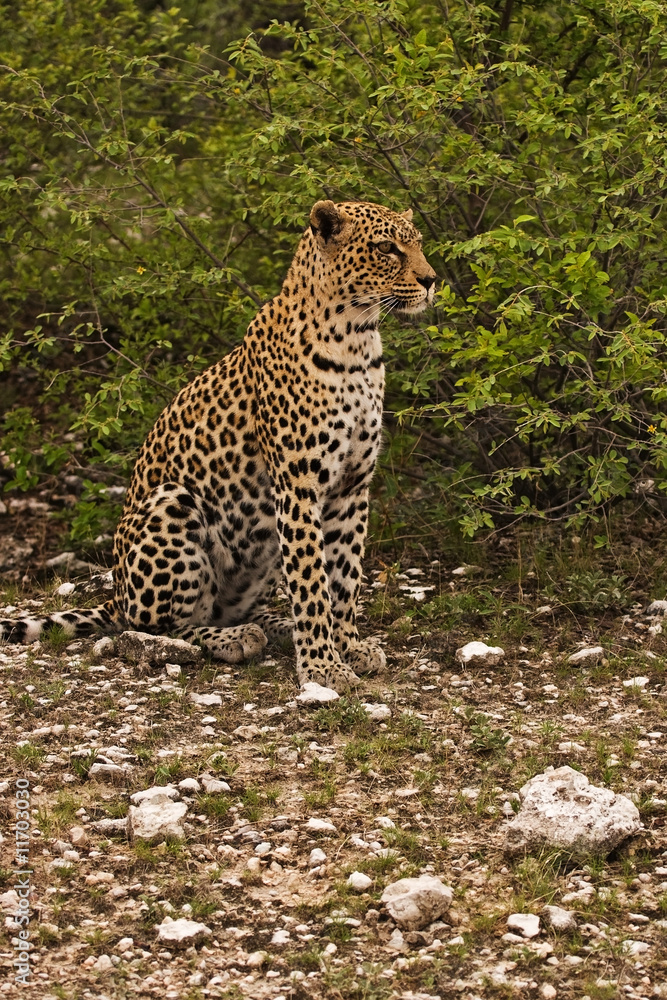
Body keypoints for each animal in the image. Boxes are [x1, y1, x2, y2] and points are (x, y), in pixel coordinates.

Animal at [0, 200, 436, 690]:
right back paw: (233, 639)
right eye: (386, 248)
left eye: (417, 244)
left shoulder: (352, 486)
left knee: (232, 609)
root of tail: (116, 592)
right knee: (158, 625)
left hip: (260, 552)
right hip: (172, 504)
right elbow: (311, 583)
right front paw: (322, 666)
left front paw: (349, 645)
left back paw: (272, 626)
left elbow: (343, 579)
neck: (357, 341)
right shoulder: (298, 486)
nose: (431, 280)